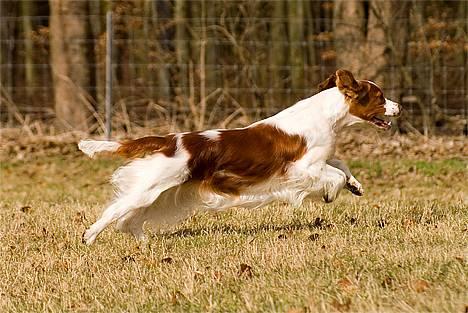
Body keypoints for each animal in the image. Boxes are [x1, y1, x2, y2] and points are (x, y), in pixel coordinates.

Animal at [78, 69, 400, 243]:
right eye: (380, 97)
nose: (399, 107)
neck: (327, 115)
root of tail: (170, 140)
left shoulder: (320, 159)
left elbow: (340, 164)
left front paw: (355, 185)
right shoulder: (301, 168)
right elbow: (332, 174)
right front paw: (332, 193)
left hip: (162, 192)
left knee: (129, 218)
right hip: (152, 187)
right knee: (115, 211)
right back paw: (89, 237)